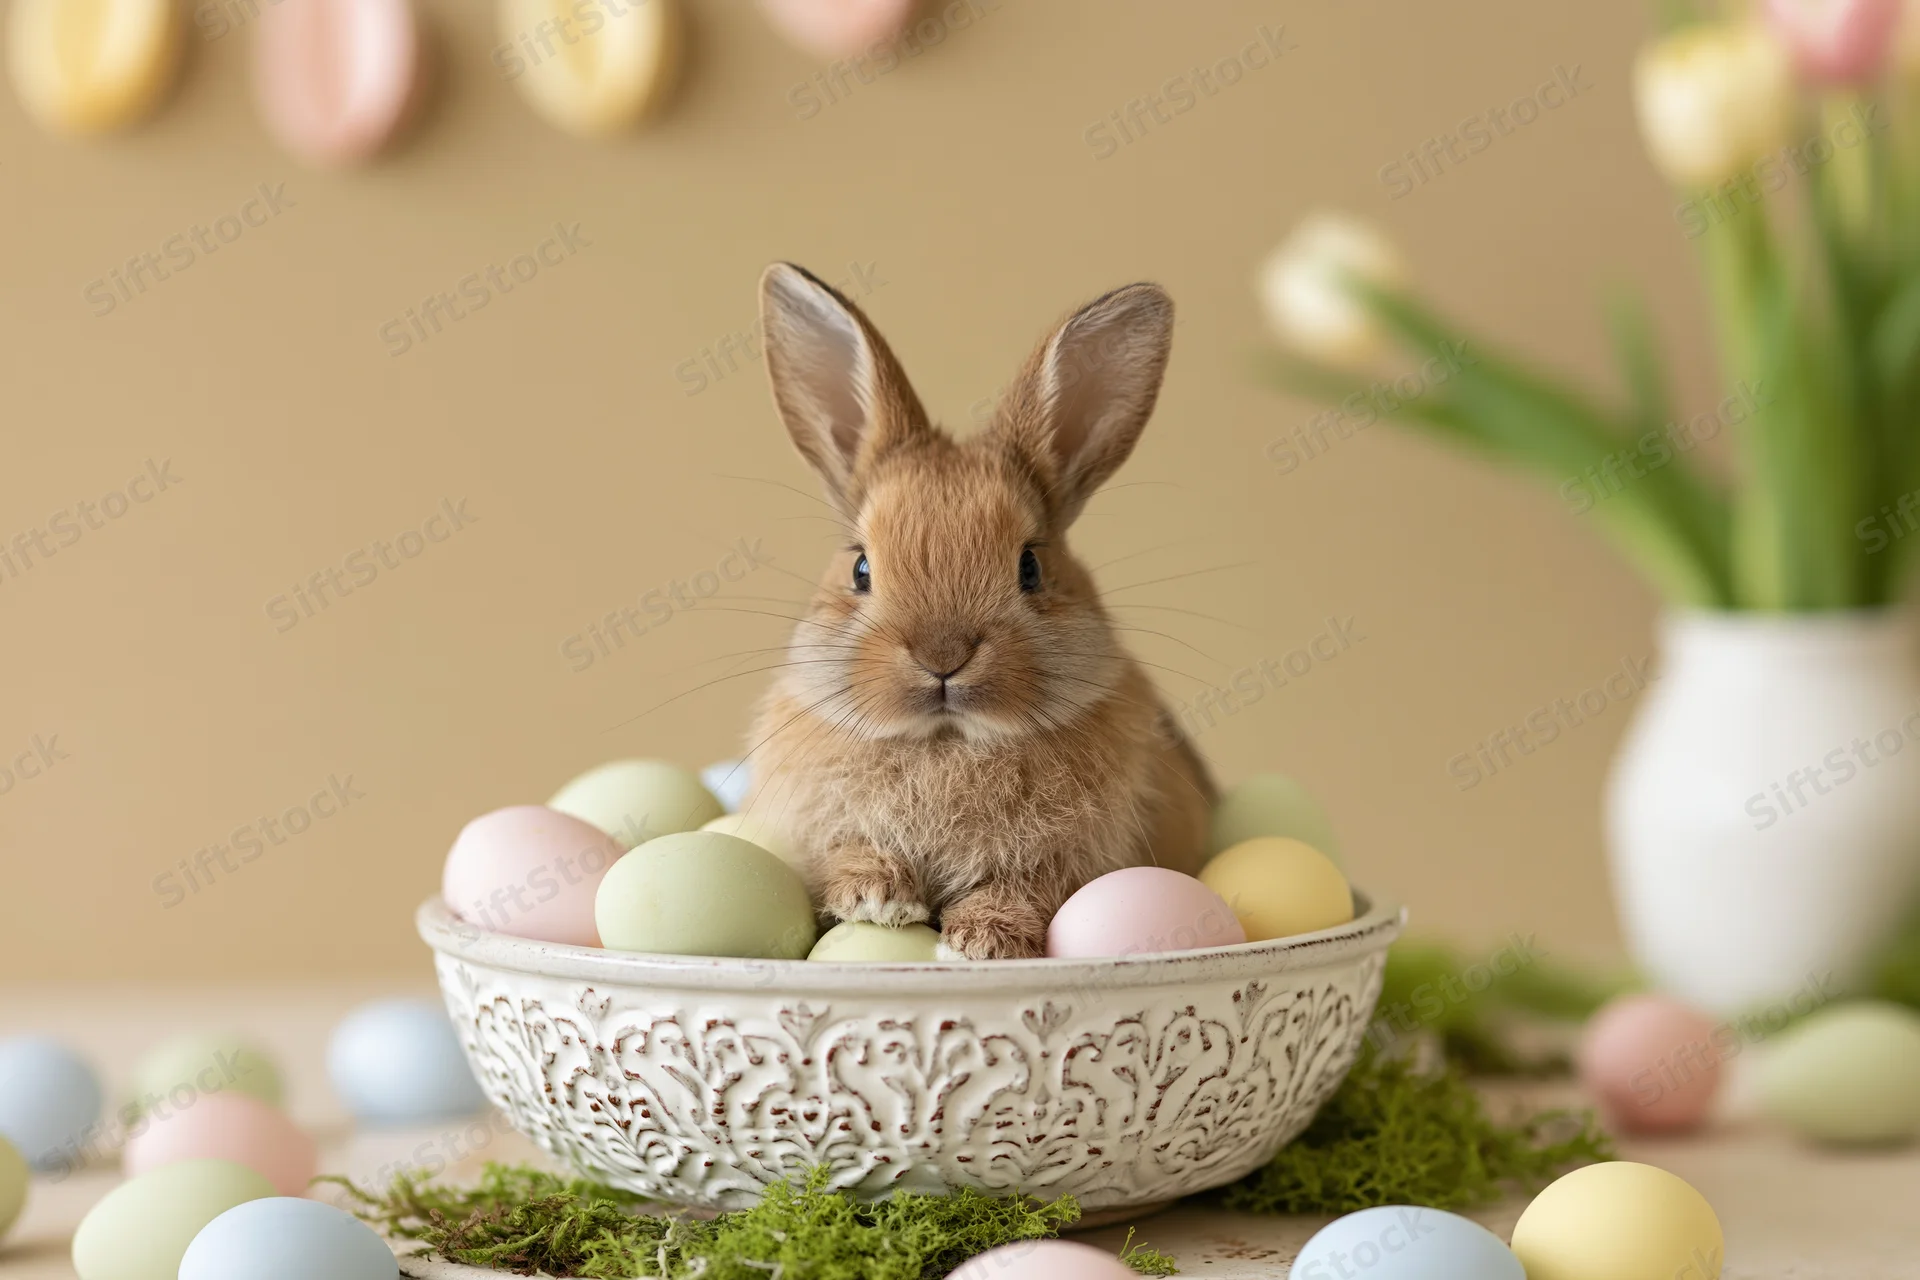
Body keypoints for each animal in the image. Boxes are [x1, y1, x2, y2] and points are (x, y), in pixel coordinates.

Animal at [743, 262, 1216, 960]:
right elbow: (848, 852)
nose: (943, 656)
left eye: (1031, 566)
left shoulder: (1065, 862)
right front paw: (880, 901)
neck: (947, 744)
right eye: (860, 568)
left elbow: (1023, 888)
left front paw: (984, 940)